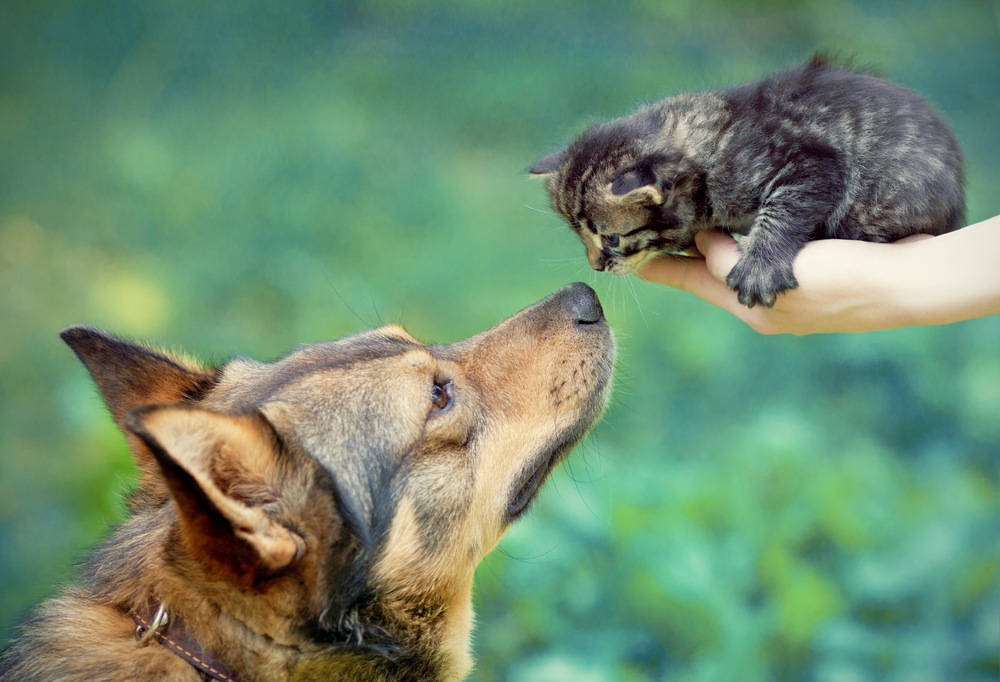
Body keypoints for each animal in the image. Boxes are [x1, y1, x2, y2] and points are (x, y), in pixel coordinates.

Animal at [532, 55, 960, 306]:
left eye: (611, 238)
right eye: (581, 237)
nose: (596, 266)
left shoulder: (816, 162)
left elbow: (785, 207)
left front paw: (760, 266)